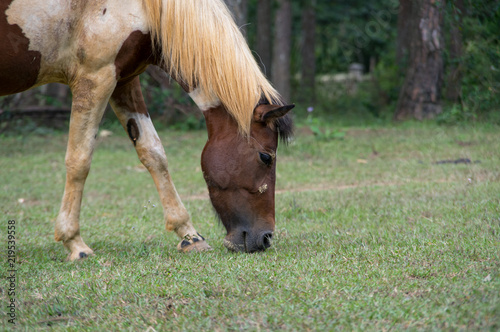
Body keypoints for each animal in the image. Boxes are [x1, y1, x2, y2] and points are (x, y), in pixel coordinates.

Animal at [0, 0, 292, 260]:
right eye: (265, 157)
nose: (266, 238)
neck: (146, 7)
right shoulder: (94, 78)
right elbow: (79, 160)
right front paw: (75, 243)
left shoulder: (123, 80)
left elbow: (153, 153)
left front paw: (189, 235)